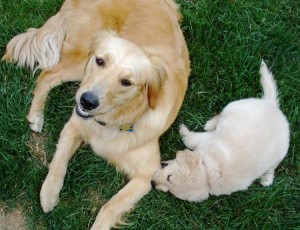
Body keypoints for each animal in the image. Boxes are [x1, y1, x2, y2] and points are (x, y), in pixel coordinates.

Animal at [2, 0, 190, 229]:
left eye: (126, 82)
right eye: (100, 61)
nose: (87, 101)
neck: (112, 121)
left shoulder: (149, 172)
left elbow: (109, 207)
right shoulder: (73, 125)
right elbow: (58, 162)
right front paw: (48, 194)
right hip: (81, 61)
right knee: (48, 75)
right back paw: (36, 116)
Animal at [152, 61, 290, 201]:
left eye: (169, 179)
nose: (152, 183)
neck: (207, 173)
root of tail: (272, 105)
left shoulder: (205, 139)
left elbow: (189, 140)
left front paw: (182, 129)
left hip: (239, 109)